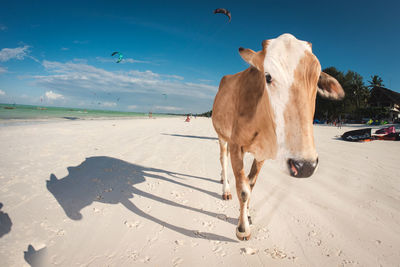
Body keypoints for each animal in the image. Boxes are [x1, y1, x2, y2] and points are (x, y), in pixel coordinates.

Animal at [211, 33, 346, 241]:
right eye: (268, 76)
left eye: (316, 80)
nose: (305, 166)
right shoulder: (235, 146)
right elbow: (243, 190)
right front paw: (242, 228)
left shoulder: (262, 155)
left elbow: (251, 185)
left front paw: (247, 216)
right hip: (221, 137)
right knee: (223, 160)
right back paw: (225, 189)